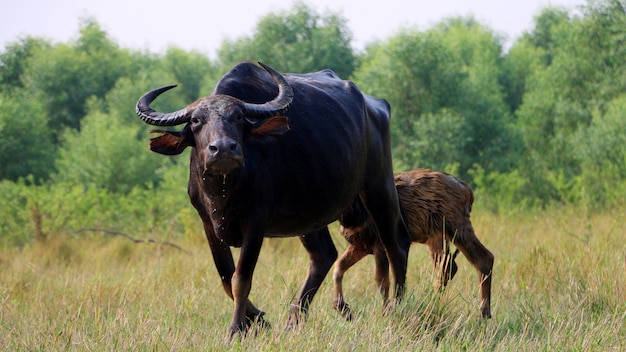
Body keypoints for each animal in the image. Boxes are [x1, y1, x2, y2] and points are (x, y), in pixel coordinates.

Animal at [135, 62, 410, 338]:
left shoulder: (256, 222)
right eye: (196, 121)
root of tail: (376, 106)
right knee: (324, 255)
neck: (223, 191)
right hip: (309, 215)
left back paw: (395, 308)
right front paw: (258, 320)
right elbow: (225, 277)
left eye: (238, 117)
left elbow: (241, 278)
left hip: (379, 186)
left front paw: (235, 329)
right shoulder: (208, 225)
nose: (223, 149)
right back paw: (294, 320)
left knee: (396, 243)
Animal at [332, 168, 492, 320]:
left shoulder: (379, 243)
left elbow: (381, 281)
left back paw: (480, 313)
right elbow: (338, 268)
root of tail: (467, 191)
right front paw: (342, 308)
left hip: (454, 227)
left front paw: (385, 313)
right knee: (451, 267)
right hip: (438, 235)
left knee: (482, 258)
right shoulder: (360, 245)